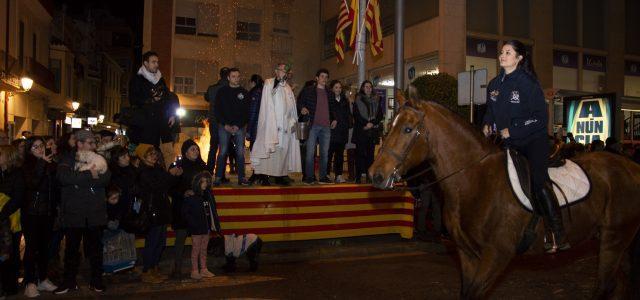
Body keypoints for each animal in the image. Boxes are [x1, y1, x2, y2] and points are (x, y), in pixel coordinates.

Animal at [368, 92, 640, 298]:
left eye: (407, 129)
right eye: (390, 125)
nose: (375, 175)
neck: (475, 180)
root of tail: (631, 167)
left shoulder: (497, 255)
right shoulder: (467, 255)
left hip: (614, 239)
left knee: (605, 287)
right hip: (615, 241)